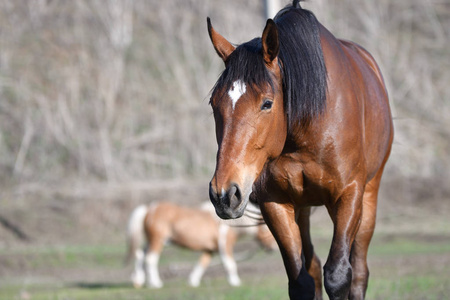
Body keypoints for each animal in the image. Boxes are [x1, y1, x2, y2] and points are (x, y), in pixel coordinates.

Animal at [125, 202, 276, 288]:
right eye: (266, 230)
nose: (273, 249)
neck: (229, 225)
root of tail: (150, 209)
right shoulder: (224, 246)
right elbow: (230, 264)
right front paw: (235, 282)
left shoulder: (210, 250)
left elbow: (202, 264)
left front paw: (193, 281)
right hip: (158, 241)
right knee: (150, 259)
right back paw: (155, 283)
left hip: (151, 241)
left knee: (140, 256)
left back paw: (138, 281)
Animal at [207, 1, 394, 298]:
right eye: (214, 103)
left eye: (267, 103)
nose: (225, 194)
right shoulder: (275, 202)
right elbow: (301, 281)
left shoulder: (349, 194)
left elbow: (338, 275)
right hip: (303, 205)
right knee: (313, 265)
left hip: (369, 194)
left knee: (359, 271)